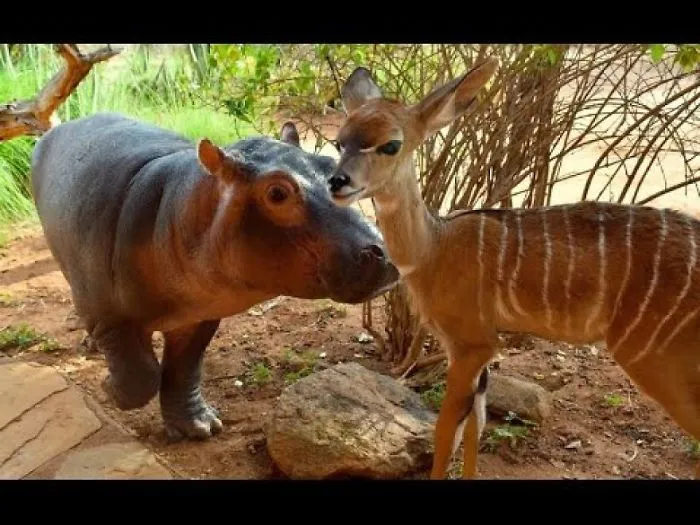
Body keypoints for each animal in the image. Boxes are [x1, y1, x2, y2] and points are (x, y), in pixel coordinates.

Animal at [30, 113, 399, 440]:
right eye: (277, 193)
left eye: (327, 162)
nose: (384, 251)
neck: (180, 207)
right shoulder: (110, 317)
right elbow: (142, 377)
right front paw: (108, 387)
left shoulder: (203, 314)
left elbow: (184, 369)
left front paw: (200, 429)